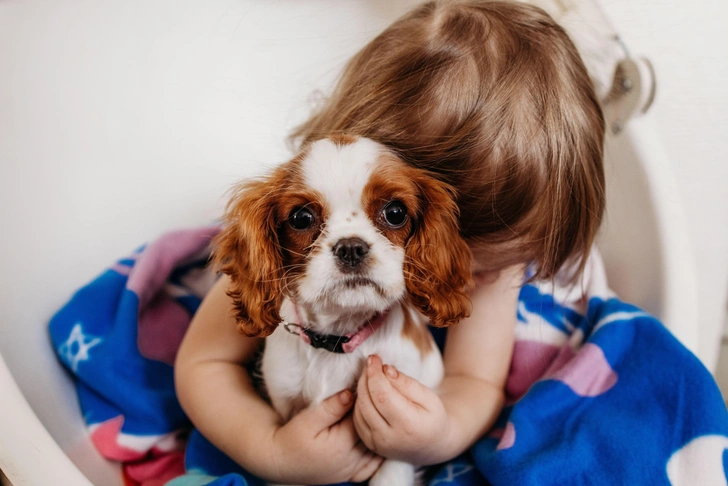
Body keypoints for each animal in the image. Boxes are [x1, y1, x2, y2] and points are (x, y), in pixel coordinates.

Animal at [212, 137, 472, 486]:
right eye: (301, 218)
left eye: (395, 212)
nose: (351, 247)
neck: (337, 336)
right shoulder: (285, 401)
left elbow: (396, 461)